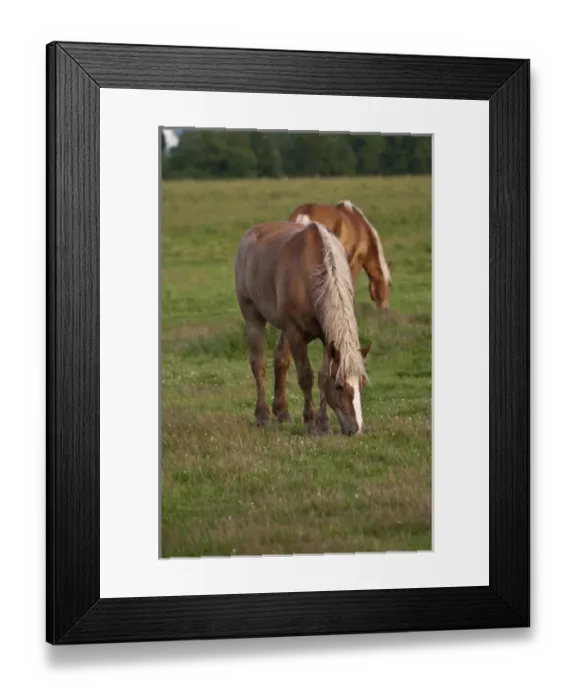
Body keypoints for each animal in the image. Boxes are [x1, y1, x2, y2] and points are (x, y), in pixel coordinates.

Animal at [234, 219, 372, 436]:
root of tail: (251, 234)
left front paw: (323, 424)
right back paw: (263, 416)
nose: (357, 430)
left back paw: (283, 413)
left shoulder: (327, 337)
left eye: (362, 383)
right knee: (259, 363)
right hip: (253, 316)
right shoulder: (296, 334)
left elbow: (322, 376)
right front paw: (310, 421)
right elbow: (306, 377)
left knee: (280, 361)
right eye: (339, 386)